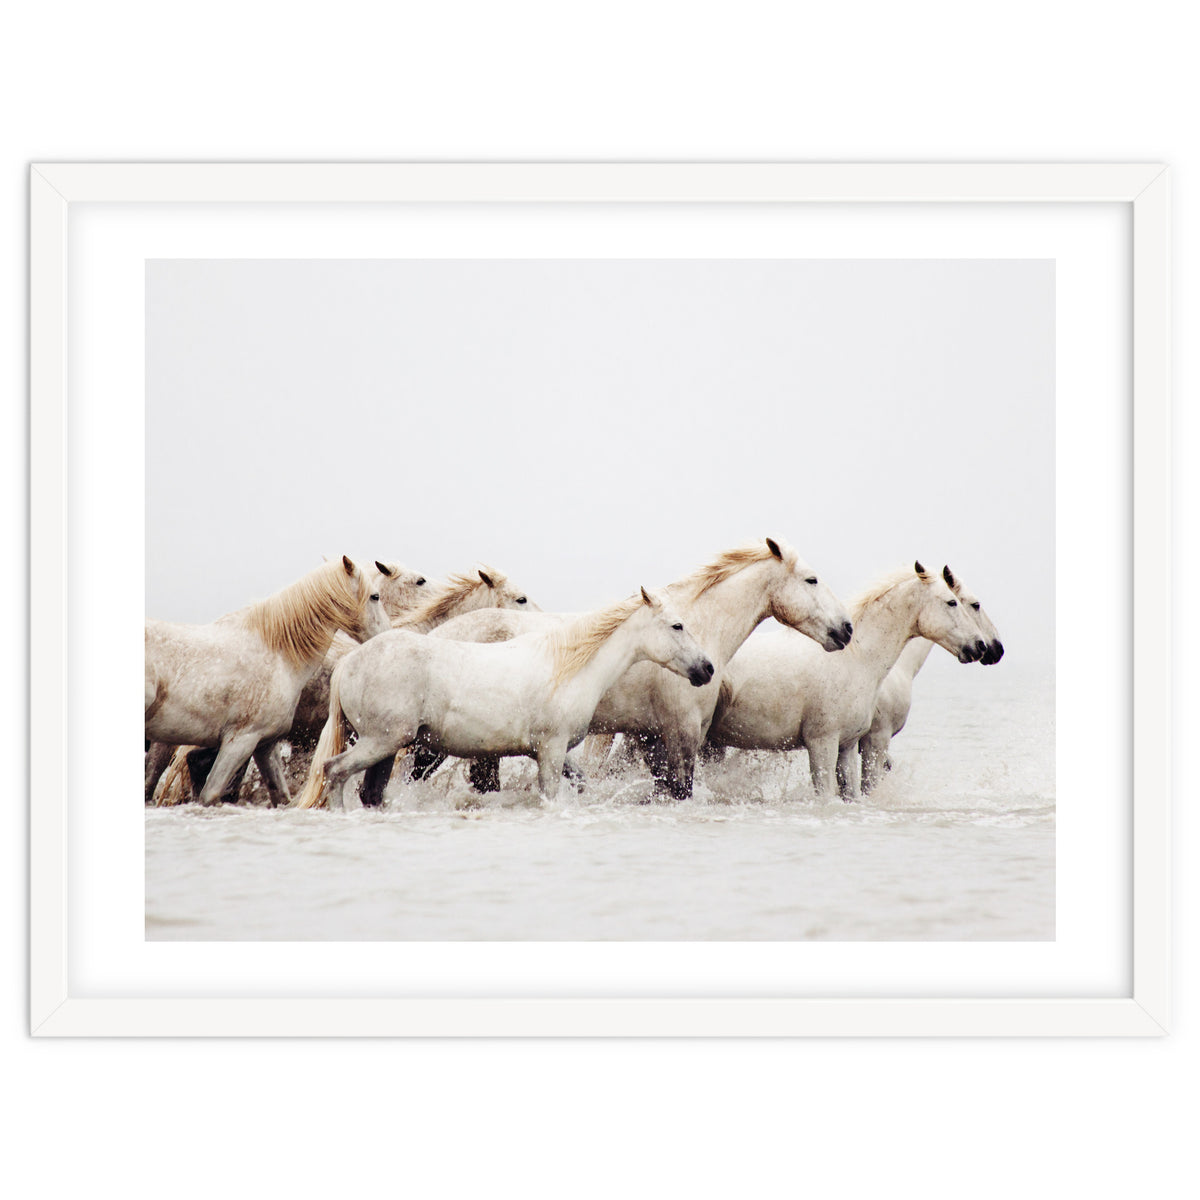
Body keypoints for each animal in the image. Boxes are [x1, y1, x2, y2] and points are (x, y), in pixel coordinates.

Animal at [144, 556, 390, 807]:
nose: (387, 634)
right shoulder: (240, 741)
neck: (278, 654)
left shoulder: (264, 744)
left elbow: (280, 795)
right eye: (375, 596)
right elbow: (210, 794)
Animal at [295, 587, 715, 809]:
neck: (567, 666)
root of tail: (349, 662)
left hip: (387, 746)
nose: (707, 669)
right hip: (381, 741)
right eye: (677, 626)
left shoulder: (553, 753)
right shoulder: (551, 749)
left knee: (370, 792)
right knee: (335, 771)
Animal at [413, 537, 854, 799]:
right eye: (812, 580)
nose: (846, 629)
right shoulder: (680, 734)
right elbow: (680, 789)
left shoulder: (651, 737)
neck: (697, 627)